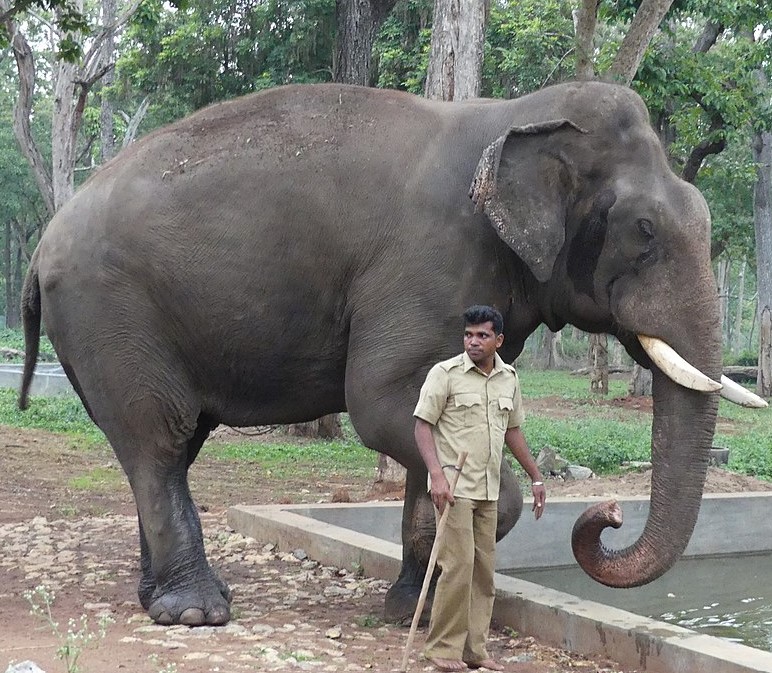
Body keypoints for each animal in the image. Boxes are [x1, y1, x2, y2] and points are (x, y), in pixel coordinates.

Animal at [19, 81, 764, 628]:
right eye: (644, 231)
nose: (606, 514)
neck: (515, 114)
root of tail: (43, 243)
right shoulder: (428, 260)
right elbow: (380, 405)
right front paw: (438, 596)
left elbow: (425, 420)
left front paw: (414, 607)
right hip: (109, 310)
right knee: (159, 435)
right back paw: (196, 614)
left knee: (173, 444)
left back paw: (158, 598)